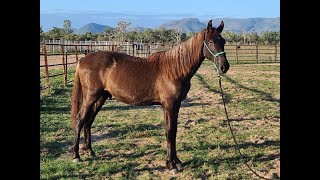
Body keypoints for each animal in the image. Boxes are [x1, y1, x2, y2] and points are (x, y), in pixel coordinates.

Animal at [70, 19, 230, 172]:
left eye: (223, 41)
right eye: (211, 41)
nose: (224, 67)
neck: (175, 69)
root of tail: (82, 60)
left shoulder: (175, 105)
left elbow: (173, 131)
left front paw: (176, 161)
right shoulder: (169, 105)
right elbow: (169, 131)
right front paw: (170, 164)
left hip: (100, 98)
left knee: (88, 122)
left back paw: (90, 151)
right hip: (91, 97)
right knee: (79, 120)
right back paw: (76, 156)